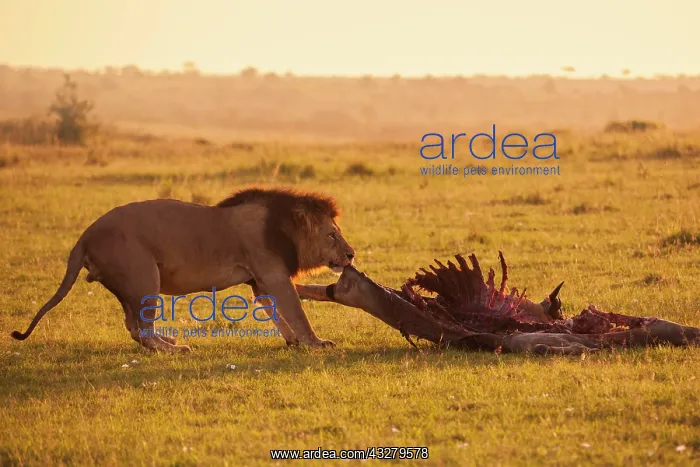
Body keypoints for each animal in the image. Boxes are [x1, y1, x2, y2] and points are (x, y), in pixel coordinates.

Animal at [10, 187, 355, 352]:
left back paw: (167, 342)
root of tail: (86, 234)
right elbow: (296, 311)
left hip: (129, 284)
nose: (351, 254)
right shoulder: (271, 273)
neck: (283, 226)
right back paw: (174, 349)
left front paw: (293, 340)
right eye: (332, 235)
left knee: (134, 327)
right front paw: (316, 343)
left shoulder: (260, 280)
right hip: (144, 275)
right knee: (142, 330)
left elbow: (278, 312)